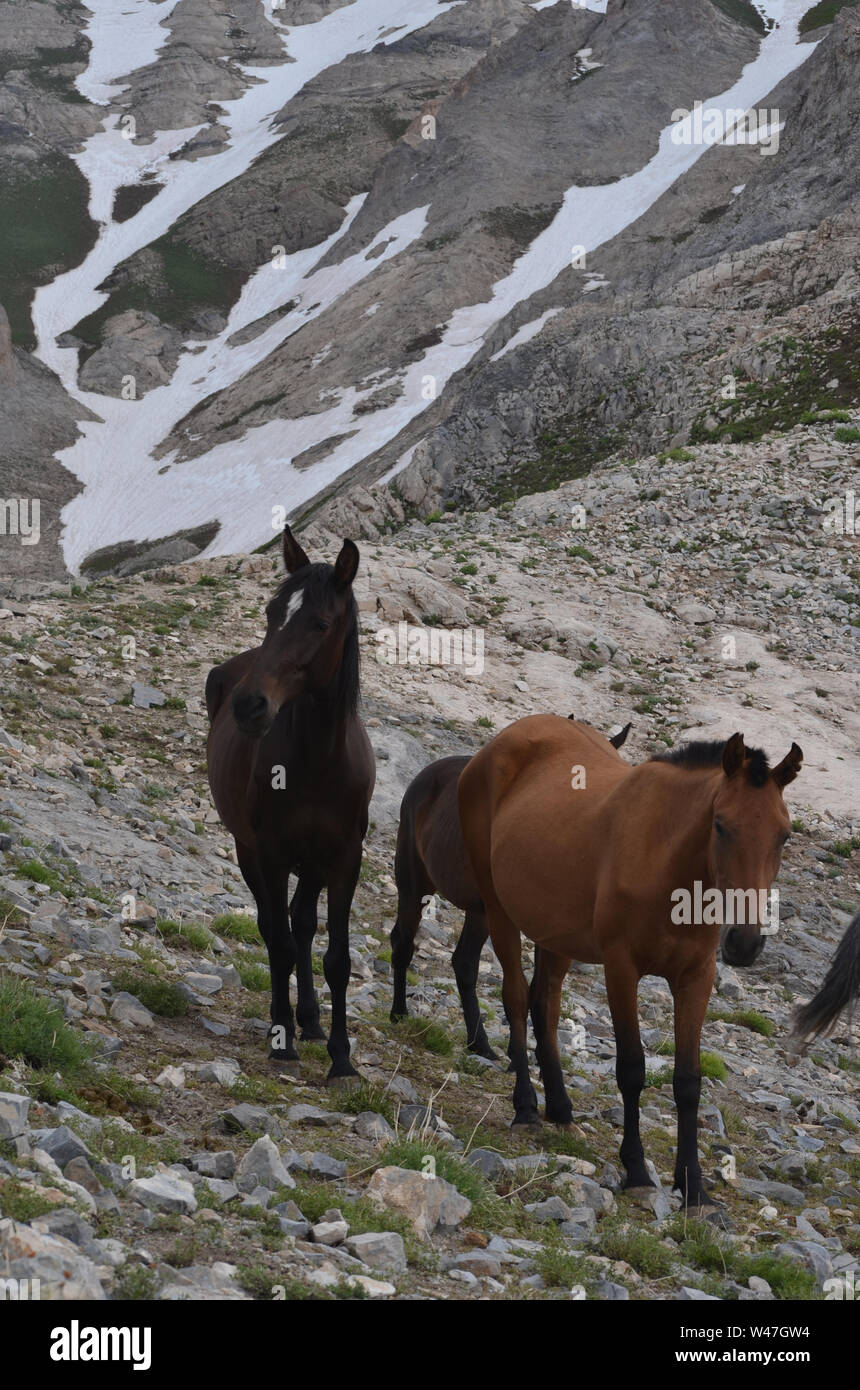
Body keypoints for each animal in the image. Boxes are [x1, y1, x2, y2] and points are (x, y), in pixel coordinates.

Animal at [207, 525, 375, 1078]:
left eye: (320, 622)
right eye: (271, 613)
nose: (249, 705)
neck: (318, 762)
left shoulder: (344, 858)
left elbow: (336, 957)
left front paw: (341, 1058)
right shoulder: (272, 853)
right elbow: (277, 943)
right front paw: (282, 1040)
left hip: (314, 862)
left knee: (301, 924)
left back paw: (312, 1021)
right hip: (249, 851)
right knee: (274, 926)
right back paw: (287, 1021)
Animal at [389, 722, 633, 1056]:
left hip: (478, 911)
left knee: (463, 963)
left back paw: (479, 1043)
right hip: (415, 882)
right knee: (404, 942)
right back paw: (399, 1012)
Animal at [461, 717, 805, 1206]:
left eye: (784, 835)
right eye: (721, 826)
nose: (745, 943)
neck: (667, 862)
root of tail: (500, 742)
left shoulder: (695, 978)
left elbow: (688, 1082)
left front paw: (693, 1185)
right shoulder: (621, 969)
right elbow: (631, 1069)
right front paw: (637, 1168)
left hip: (555, 937)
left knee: (544, 1007)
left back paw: (560, 1109)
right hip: (499, 911)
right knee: (514, 998)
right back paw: (526, 1106)